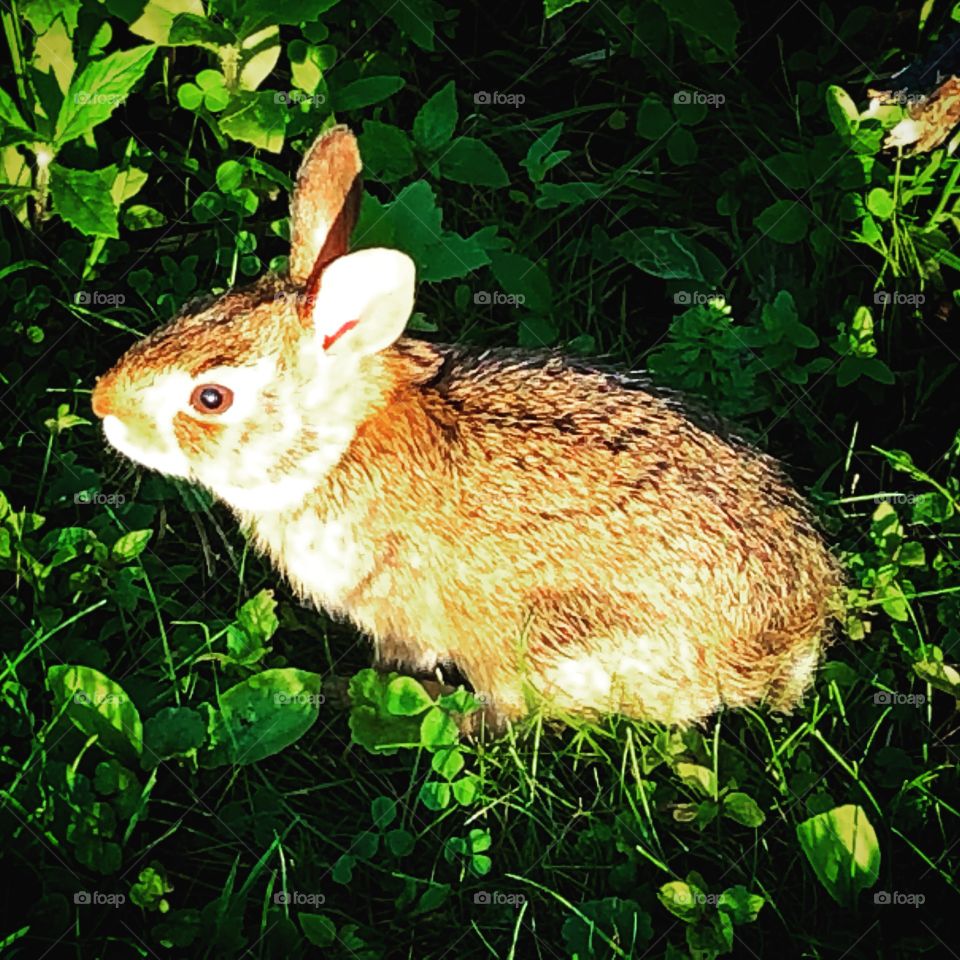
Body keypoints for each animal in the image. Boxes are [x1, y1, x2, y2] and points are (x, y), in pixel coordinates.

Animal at [91, 124, 843, 730]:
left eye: (211, 398)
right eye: (198, 307)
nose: (103, 405)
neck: (337, 447)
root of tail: (786, 646)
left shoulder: (398, 613)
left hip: (551, 647)